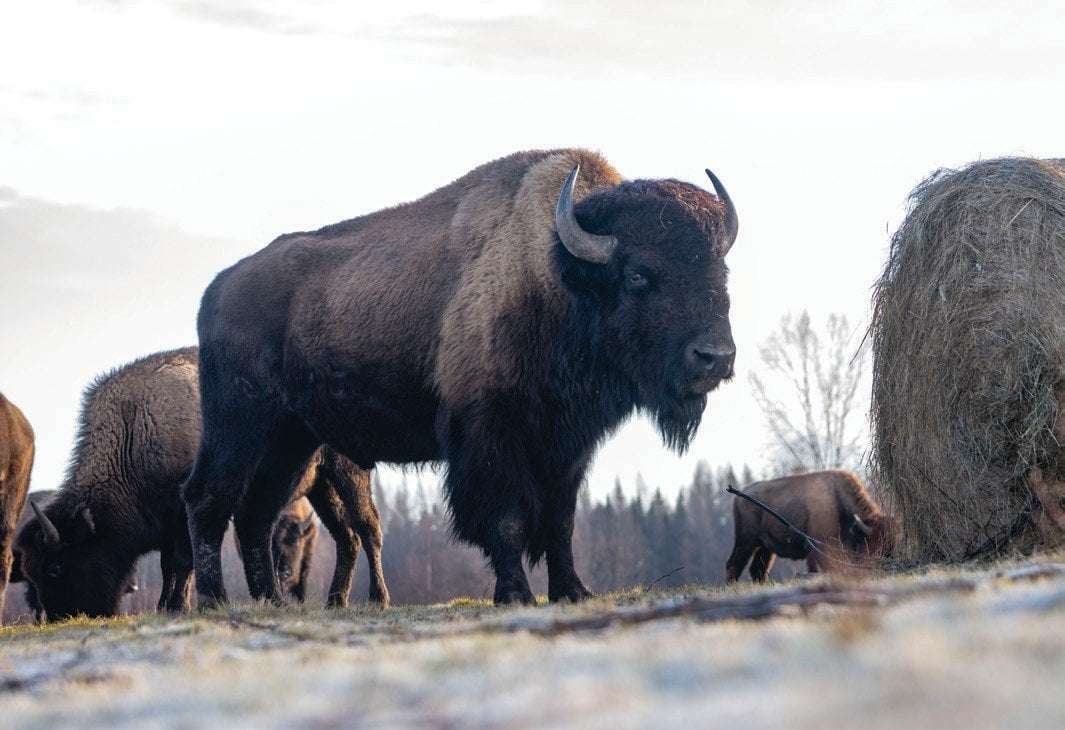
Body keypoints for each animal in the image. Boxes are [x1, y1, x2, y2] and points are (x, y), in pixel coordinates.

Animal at [16, 348, 388, 621]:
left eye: (56, 566)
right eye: (30, 572)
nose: (63, 616)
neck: (136, 430)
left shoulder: (182, 518)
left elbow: (182, 563)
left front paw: (175, 606)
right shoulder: (170, 525)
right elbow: (173, 565)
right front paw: (167, 606)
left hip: (347, 471)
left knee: (367, 527)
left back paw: (378, 600)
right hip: (321, 485)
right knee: (346, 536)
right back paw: (335, 602)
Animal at [182, 148, 739, 606]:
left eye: (721, 271)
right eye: (639, 273)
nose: (715, 357)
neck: (558, 277)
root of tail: (218, 288)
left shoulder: (568, 444)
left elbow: (560, 523)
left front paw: (573, 591)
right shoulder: (491, 436)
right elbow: (507, 521)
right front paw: (515, 594)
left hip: (293, 440)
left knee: (256, 511)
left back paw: (270, 600)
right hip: (240, 425)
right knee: (209, 497)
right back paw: (215, 601)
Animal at [725, 470, 897, 582]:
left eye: (890, 543)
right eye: (871, 542)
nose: (881, 565)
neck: (836, 499)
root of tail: (740, 495)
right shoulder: (819, 547)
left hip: (766, 547)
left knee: (758, 569)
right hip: (746, 541)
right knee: (734, 564)